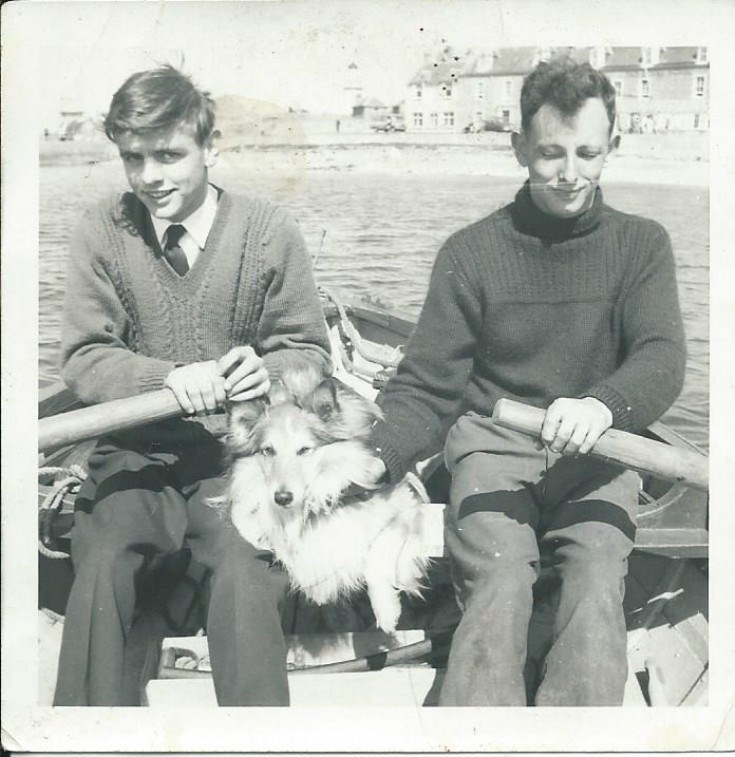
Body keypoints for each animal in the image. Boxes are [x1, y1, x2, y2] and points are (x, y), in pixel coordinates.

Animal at [224, 366, 432, 632]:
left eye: (304, 450)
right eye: (267, 451)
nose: (282, 498)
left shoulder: (406, 507)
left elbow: (377, 551)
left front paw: (386, 611)